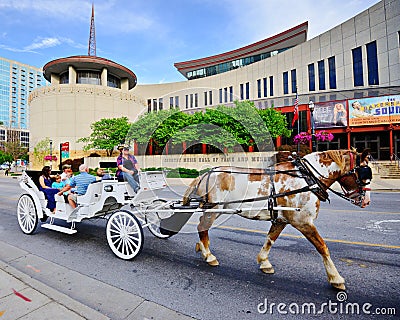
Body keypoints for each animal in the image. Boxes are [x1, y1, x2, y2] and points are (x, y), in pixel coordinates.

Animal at [183, 149, 370, 290]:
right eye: (364, 175)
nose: (367, 202)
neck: (307, 179)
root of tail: (205, 174)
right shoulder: (303, 222)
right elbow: (322, 247)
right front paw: (336, 278)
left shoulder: (281, 220)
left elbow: (270, 239)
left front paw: (264, 262)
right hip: (215, 208)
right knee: (202, 226)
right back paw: (209, 255)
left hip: (220, 209)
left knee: (202, 226)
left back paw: (202, 248)